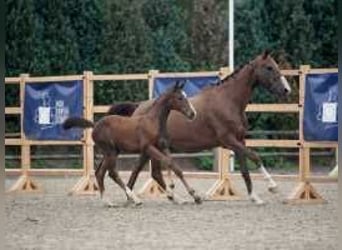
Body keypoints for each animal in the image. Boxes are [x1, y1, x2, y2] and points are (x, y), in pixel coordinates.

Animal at [62, 82, 200, 205]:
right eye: (180, 98)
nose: (193, 114)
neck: (153, 121)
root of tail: (95, 125)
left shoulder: (162, 146)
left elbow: (175, 167)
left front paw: (191, 196)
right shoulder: (148, 148)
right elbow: (168, 163)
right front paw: (185, 193)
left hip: (112, 152)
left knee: (100, 172)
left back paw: (108, 201)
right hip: (110, 152)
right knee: (110, 173)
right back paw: (133, 199)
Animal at [121, 51, 290, 205]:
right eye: (269, 67)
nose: (286, 90)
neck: (229, 101)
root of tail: (139, 108)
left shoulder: (239, 141)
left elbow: (245, 170)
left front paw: (254, 197)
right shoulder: (229, 140)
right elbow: (255, 157)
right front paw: (272, 186)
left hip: (151, 149)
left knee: (149, 172)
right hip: (150, 148)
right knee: (147, 172)